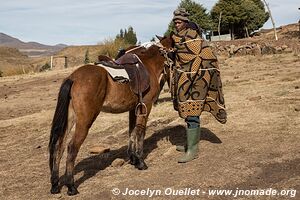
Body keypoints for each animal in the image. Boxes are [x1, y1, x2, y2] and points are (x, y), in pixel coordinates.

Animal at [48, 36, 172, 195]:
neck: (148, 65)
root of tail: (73, 77)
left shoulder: (133, 109)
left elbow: (131, 132)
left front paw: (133, 158)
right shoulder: (146, 105)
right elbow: (140, 132)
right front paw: (140, 161)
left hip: (70, 119)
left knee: (59, 145)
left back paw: (55, 184)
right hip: (85, 120)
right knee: (72, 147)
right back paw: (71, 186)